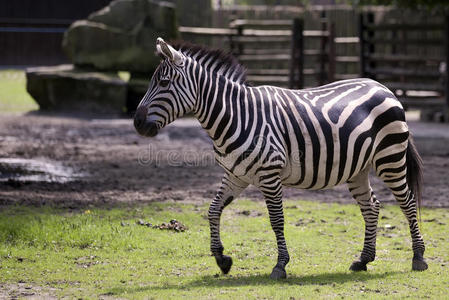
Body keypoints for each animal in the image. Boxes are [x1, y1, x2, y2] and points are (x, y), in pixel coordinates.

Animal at [133, 37, 428, 278]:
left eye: (163, 83)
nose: (136, 122)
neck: (235, 116)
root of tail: (384, 87)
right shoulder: (235, 175)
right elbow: (213, 209)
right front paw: (222, 259)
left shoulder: (269, 174)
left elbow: (276, 220)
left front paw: (280, 265)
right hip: (358, 167)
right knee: (371, 206)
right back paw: (364, 260)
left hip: (390, 158)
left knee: (408, 202)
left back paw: (418, 258)